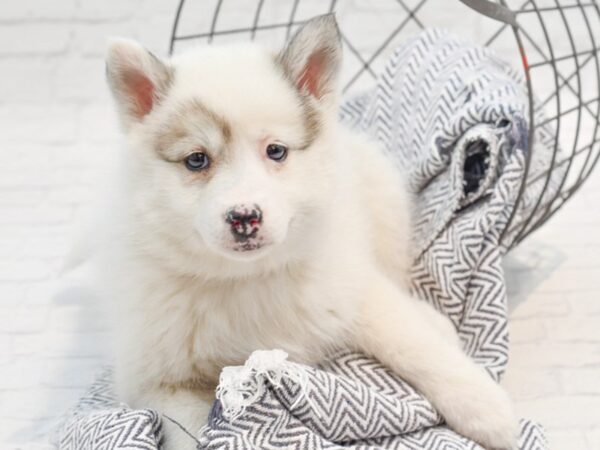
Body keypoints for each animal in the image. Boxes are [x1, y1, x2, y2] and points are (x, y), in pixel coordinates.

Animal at [101, 14, 516, 450]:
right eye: (197, 160)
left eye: (276, 151)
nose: (245, 217)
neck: (248, 278)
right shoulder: (159, 384)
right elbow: (195, 428)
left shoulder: (350, 287)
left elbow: (412, 342)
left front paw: (486, 408)